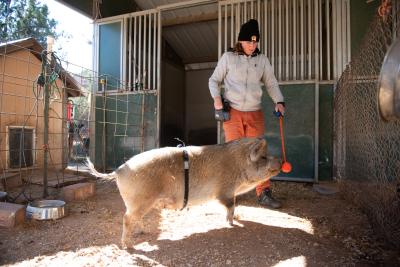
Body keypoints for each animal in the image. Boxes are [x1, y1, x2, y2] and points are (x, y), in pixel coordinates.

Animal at [87, 137, 282, 248]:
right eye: (263, 157)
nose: (281, 161)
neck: (237, 163)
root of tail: (119, 170)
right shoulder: (225, 190)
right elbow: (230, 206)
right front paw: (231, 224)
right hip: (140, 199)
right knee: (127, 218)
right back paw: (128, 246)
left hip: (140, 203)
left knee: (136, 218)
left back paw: (141, 233)